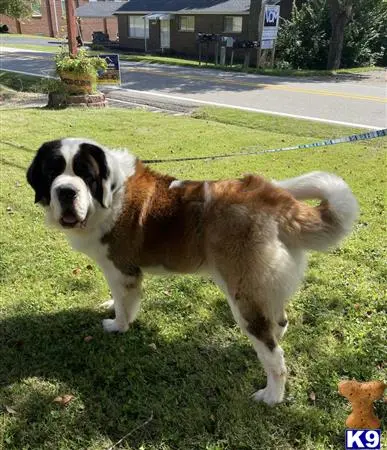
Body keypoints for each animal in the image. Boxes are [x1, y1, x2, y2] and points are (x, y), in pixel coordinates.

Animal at [28, 136, 360, 404]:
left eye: (86, 175)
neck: (110, 193)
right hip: (262, 288)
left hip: (243, 293)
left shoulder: (121, 268)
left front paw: (118, 325)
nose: (66, 192)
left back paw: (271, 396)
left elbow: (125, 305)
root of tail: (274, 199)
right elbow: (119, 297)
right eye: (52, 172)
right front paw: (111, 305)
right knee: (278, 324)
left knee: (274, 353)